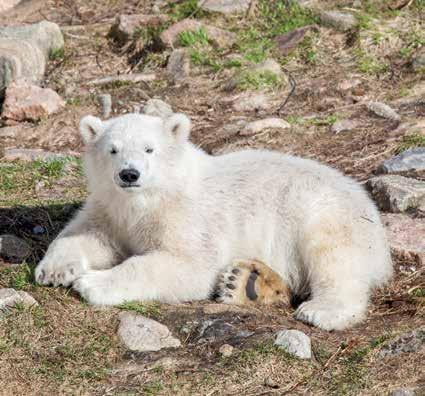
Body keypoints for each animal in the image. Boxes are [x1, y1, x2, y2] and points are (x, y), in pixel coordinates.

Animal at [35, 112, 390, 332]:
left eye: (149, 149)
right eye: (113, 149)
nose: (129, 174)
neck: (149, 198)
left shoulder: (189, 216)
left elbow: (186, 264)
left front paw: (92, 283)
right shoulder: (110, 208)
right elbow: (87, 233)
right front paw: (55, 270)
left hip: (323, 212)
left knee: (335, 259)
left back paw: (322, 310)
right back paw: (246, 283)